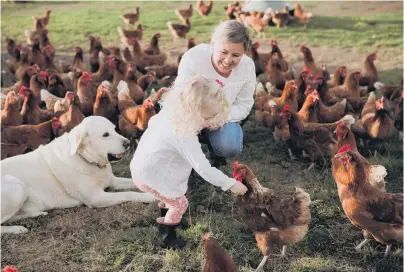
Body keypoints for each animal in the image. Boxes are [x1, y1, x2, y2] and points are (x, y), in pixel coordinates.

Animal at [0, 116, 155, 234]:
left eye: (115, 129)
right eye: (105, 135)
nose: (128, 143)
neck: (84, 158)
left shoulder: (113, 182)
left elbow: (135, 184)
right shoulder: (96, 198)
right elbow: (129, 193)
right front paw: (149, 197)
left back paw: (36, 214)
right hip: (16, 187)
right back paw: (17, 229)